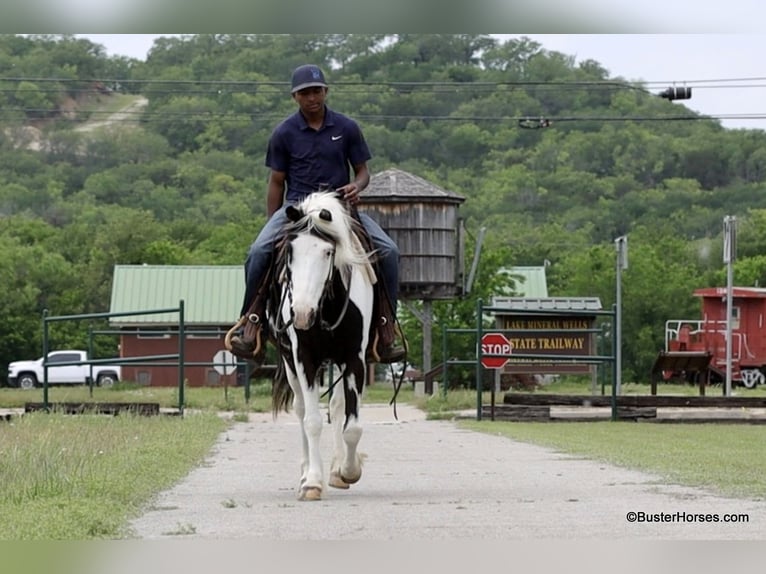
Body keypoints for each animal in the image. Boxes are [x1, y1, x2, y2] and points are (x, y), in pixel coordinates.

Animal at [267, 191, 377, 501]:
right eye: (289, 252)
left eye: (328, 252)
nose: (302, 314)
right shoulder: (304, 358)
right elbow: (312, 422)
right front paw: (312, 483)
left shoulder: (355, 359)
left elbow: (352, 425)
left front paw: (347, 471)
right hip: (291, 365)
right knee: (302, 410)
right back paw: (306, 472)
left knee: (337, 407)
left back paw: (337, 469)